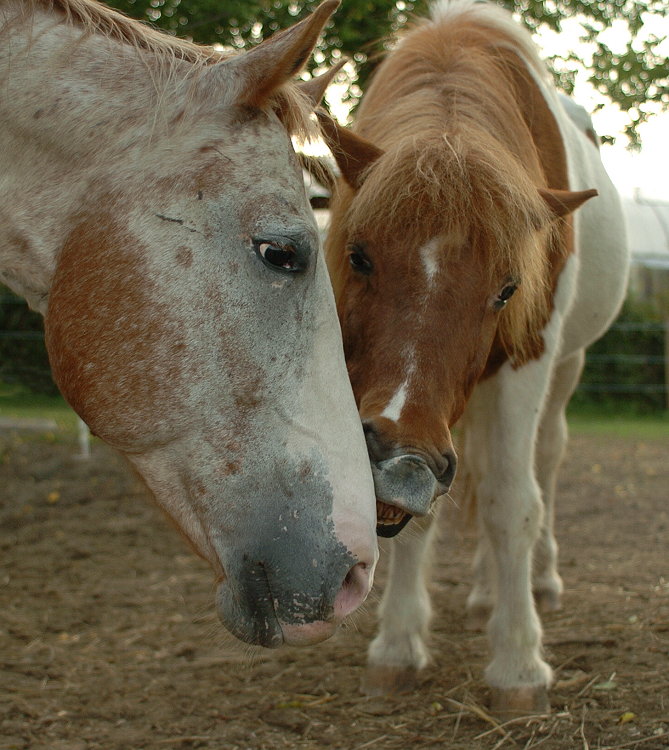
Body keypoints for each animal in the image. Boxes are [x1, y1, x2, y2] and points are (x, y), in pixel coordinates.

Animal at [320, 0, 628, 716]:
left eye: (508, 289)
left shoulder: (526, 362)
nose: (400, 456)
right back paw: (489, 591)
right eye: (358, 255)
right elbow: (418, 514)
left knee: (539, 466)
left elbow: (512, 502)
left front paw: (518, 664)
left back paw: (536, 584)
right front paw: (397, 646)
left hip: (560, 373)